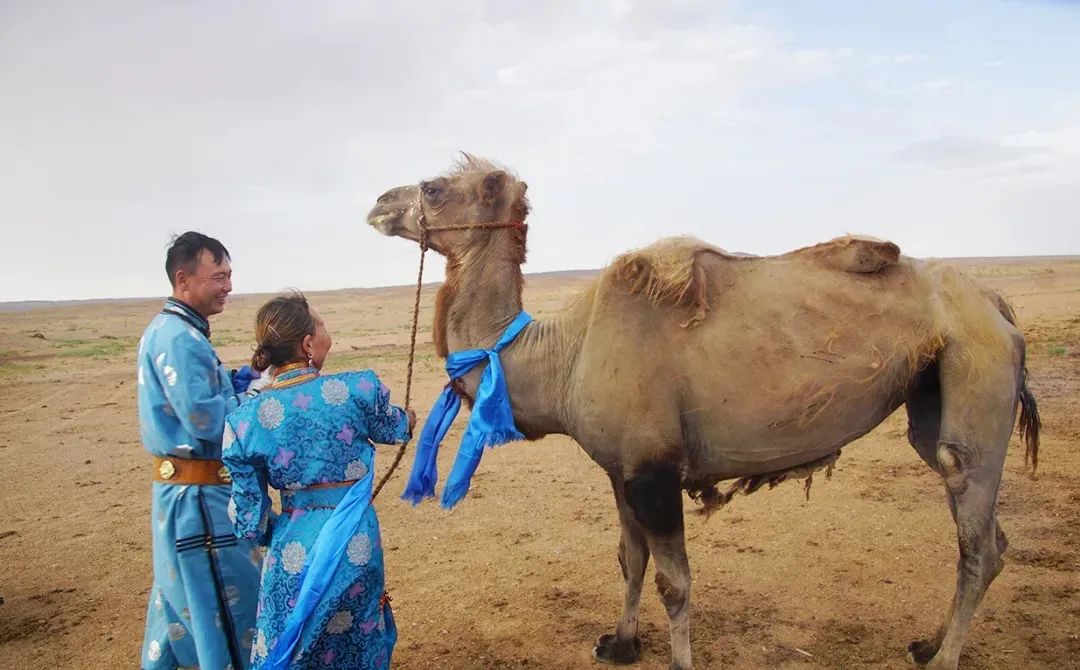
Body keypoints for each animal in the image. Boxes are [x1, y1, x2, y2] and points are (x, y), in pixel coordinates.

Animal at [367, 156, 1041, 670]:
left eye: (433, 188)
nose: (377, 202)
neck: (563, 353)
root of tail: (997, 303)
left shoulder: (656, 469)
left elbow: (675, 582)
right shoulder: (621, 469)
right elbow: (630, 557)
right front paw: (619, 644)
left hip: (975, 368)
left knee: (974, 529)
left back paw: (944, 658)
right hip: (933, 393)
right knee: (989, 529)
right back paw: (927, 643)